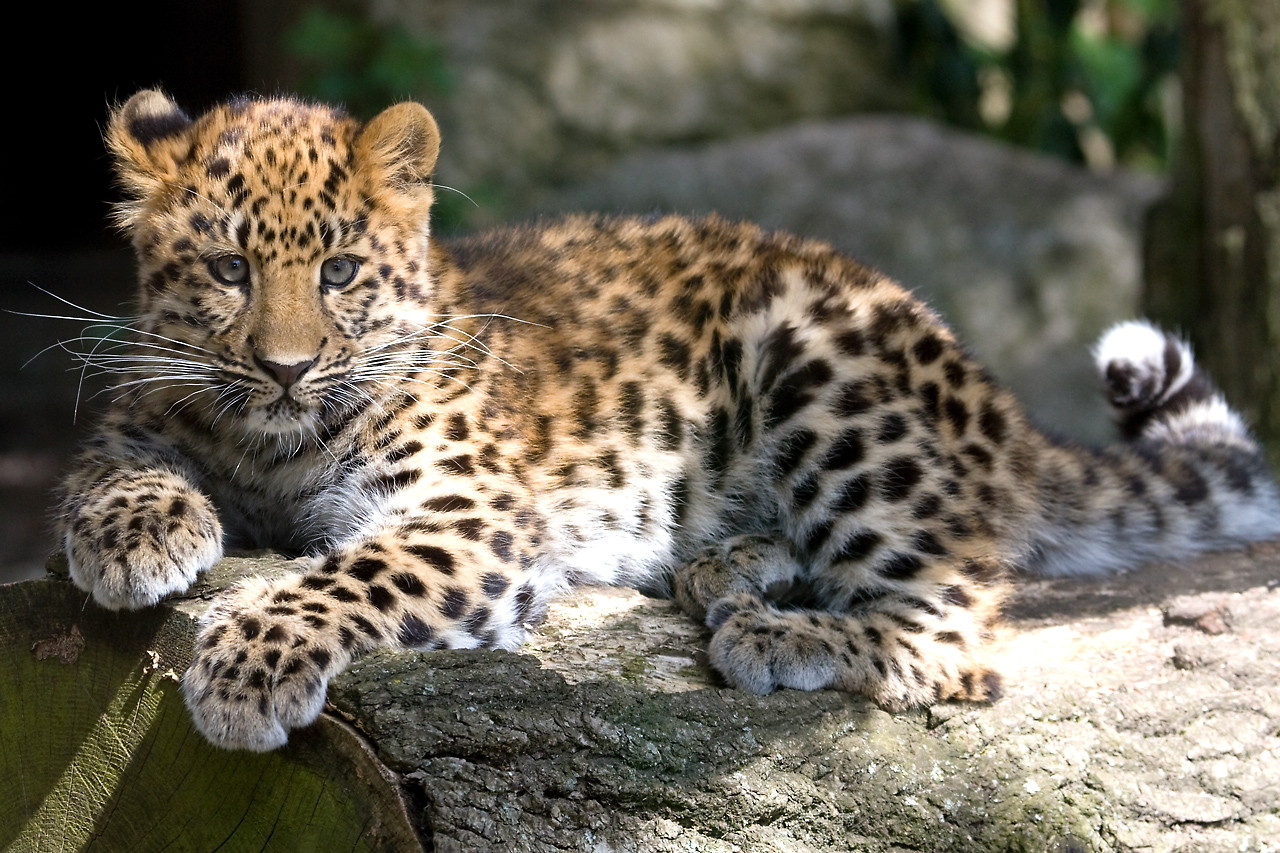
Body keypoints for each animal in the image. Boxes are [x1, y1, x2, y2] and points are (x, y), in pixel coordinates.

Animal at [55, 89, 1280, 752]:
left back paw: (782, 633)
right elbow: (105, 460)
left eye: (341, 270)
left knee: (961, 625)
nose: (286, 367)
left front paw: (242, 667)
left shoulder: (467, 517)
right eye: (228, 269)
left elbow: (345, 574)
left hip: (820, 363)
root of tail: (989, 398)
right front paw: (136, 532)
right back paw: (729, 567)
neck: (272, 447)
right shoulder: (142, 414)